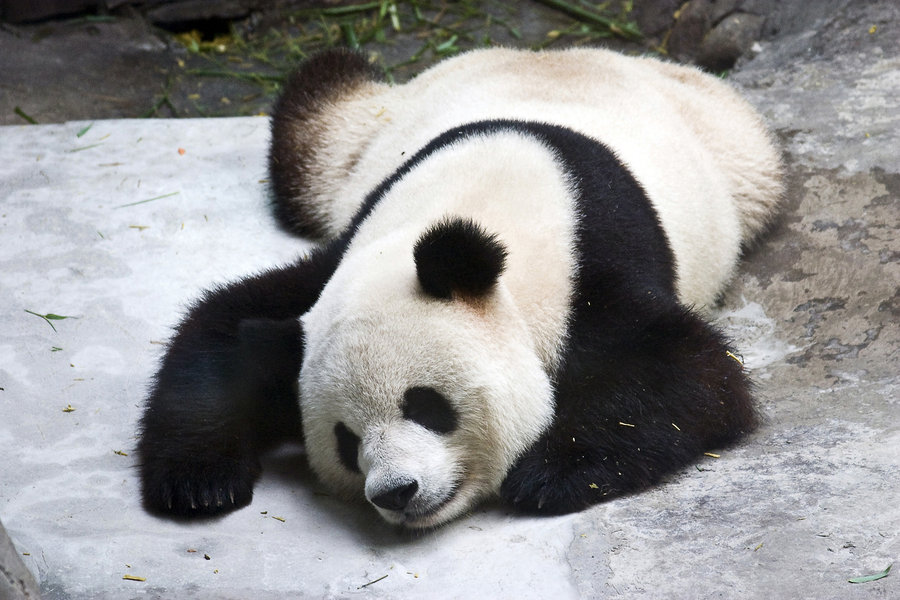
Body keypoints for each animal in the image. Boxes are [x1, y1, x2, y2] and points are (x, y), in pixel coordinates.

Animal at [137, 47, 784, 528]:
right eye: (346, 439)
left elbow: (692, 370)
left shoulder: (589, 267)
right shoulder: (343, 259)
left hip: (735, 148)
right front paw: (199, 483)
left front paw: (549, 473)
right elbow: (227, 325)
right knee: (311, 121)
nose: (395, 492)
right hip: (350, 145)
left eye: (427, 406)